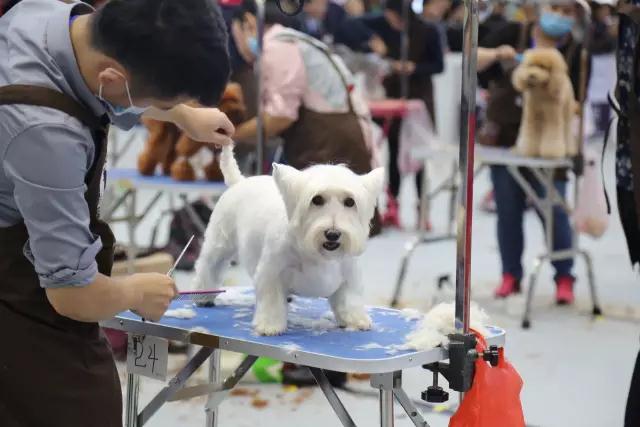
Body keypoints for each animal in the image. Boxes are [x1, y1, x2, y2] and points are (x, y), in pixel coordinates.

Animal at [191, 145, 384, 336]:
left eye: (350, 202)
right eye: (317, 199)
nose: (333, 234)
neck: (316, 253)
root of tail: (239, 182)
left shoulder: (348, 275)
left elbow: (349, 299)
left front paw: (356, 320)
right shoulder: (272, 271)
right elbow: (272, 300)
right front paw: (269, 326)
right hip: (220, 242)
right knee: (208, 265)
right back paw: (203, 295)